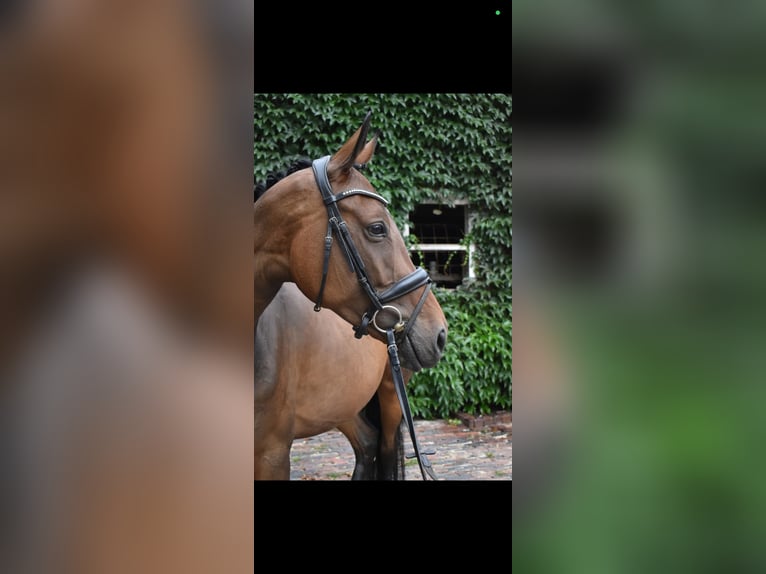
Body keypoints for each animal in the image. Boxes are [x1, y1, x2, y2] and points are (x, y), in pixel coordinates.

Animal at [254, 113, 448, 480]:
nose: (440, 334)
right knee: (367, 444)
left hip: (389, 396)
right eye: (377, 228)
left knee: (382, 448)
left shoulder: (272, 451)